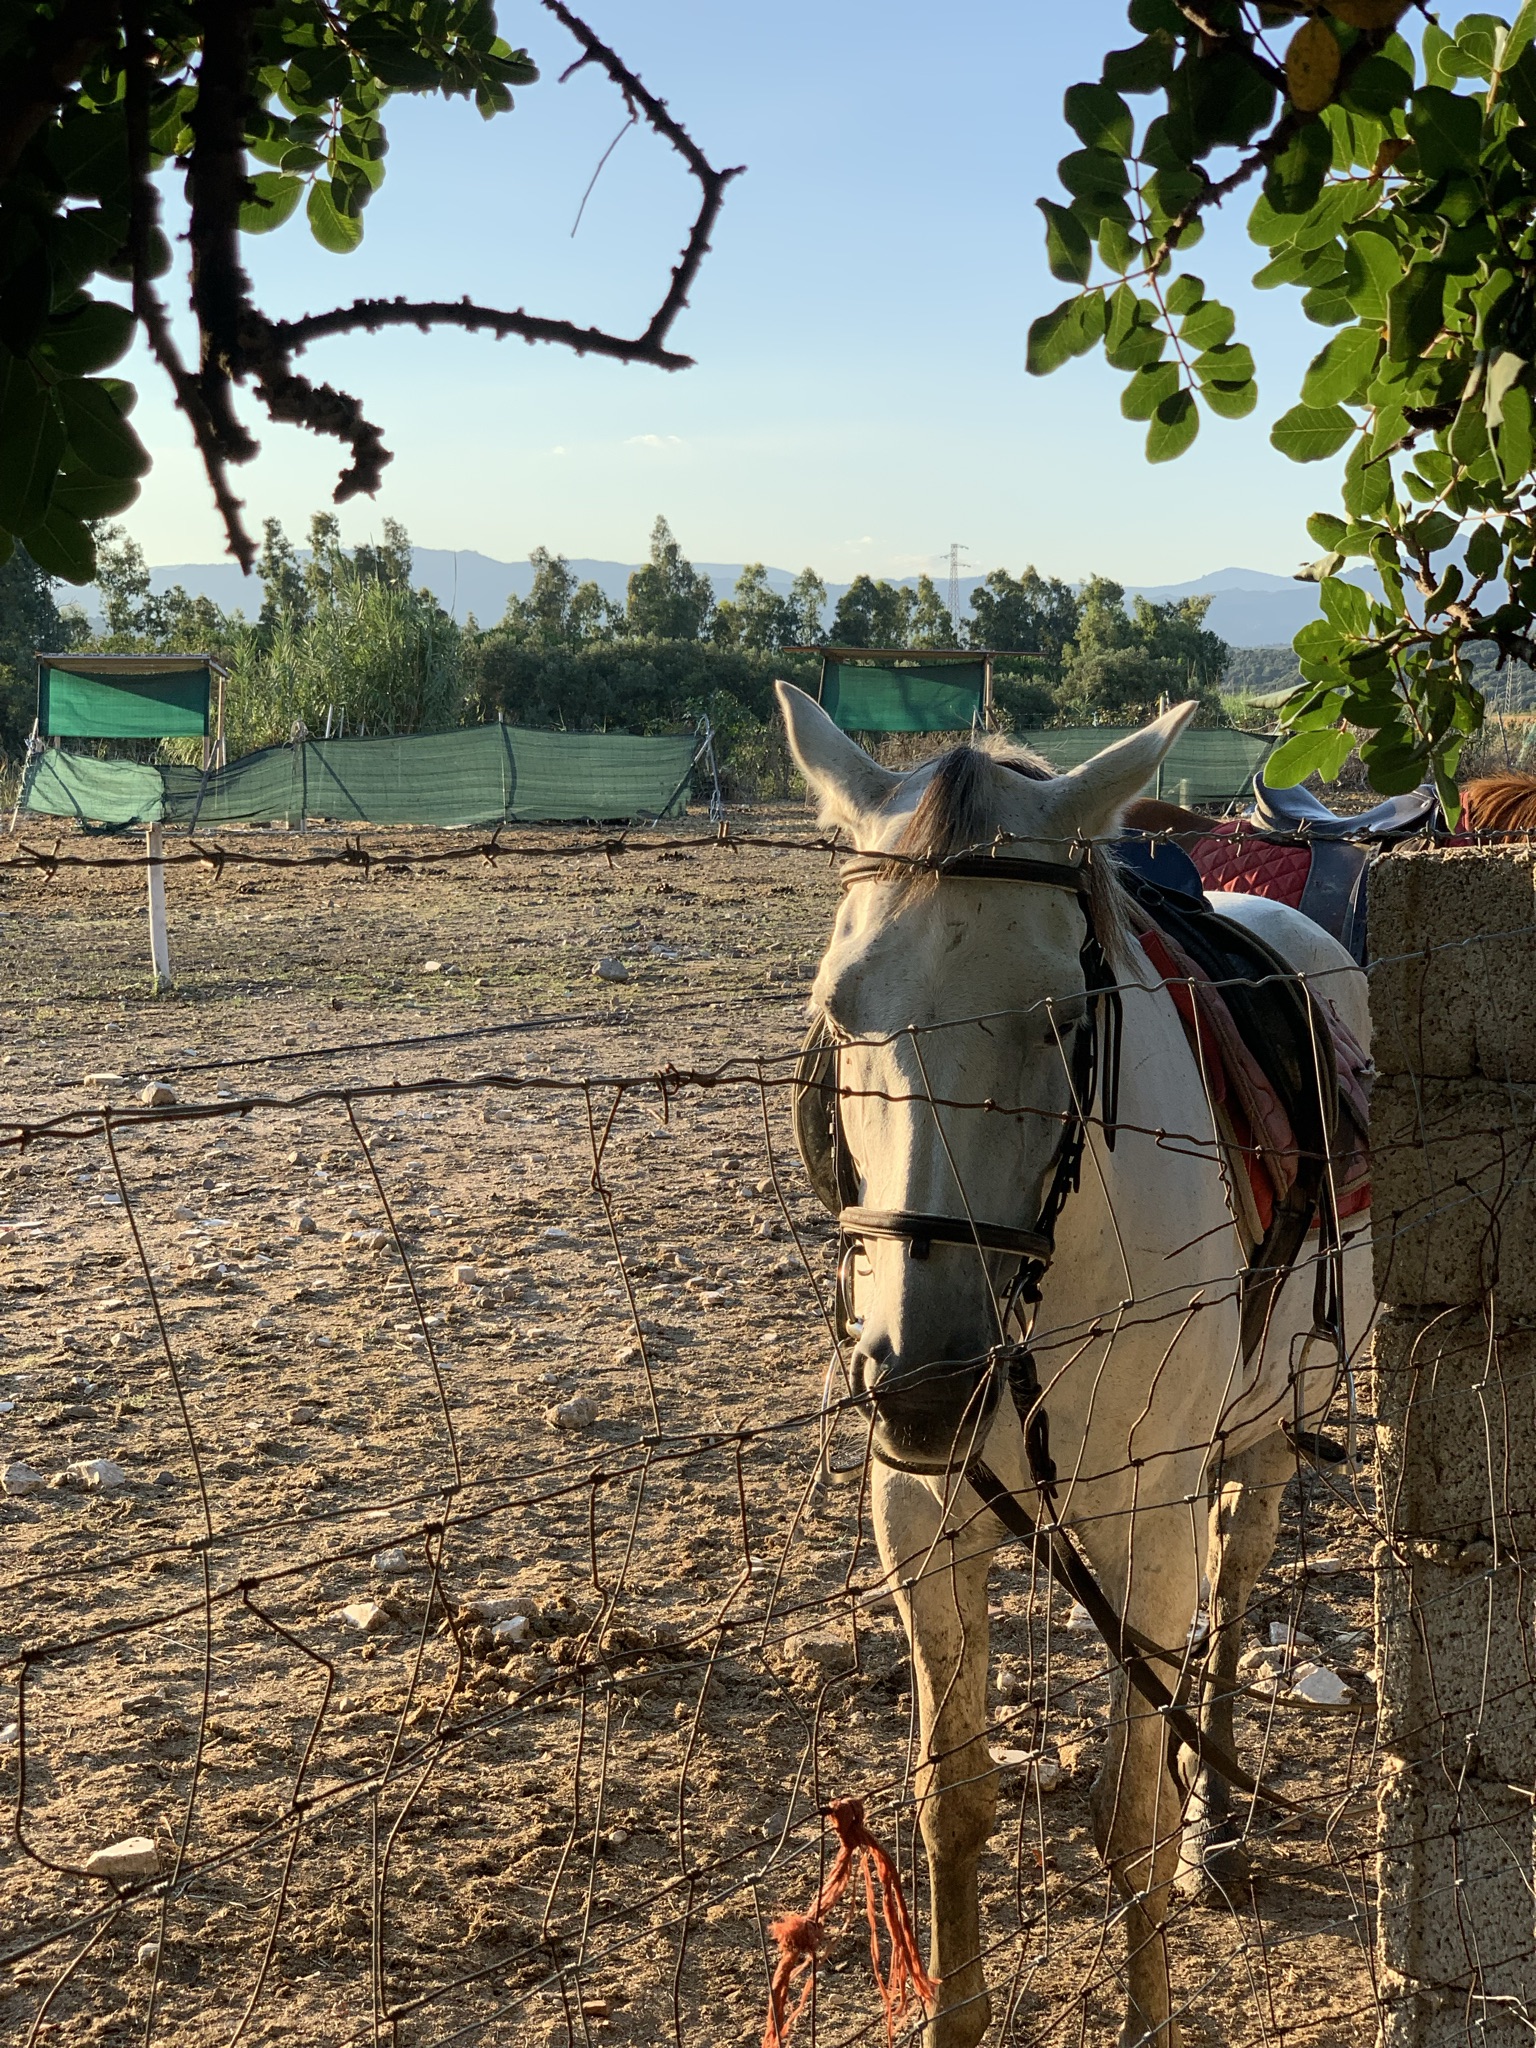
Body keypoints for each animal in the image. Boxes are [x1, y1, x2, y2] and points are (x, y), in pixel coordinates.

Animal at [774, 692, 1376, 2048]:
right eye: (840, 1006)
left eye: (1059, 1017)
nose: (925, 1382)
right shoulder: (922, 1514)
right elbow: (952, 1805)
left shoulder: (1144, 1514)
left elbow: (1127, 1818)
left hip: (1258, 1430)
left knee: (1234, 1588)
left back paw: (1219, 1825)